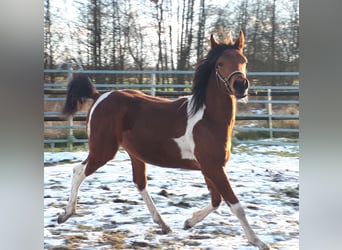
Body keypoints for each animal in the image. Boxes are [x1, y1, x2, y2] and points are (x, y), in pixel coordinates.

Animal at [56, 31, 270, 250]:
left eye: (243, 60)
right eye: (220, 63)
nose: (241, 85)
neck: (208, 119)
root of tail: (99, 96)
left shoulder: (210, 168)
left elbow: (216, 200)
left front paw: (188, 222)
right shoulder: (213, 167)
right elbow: (235, 205)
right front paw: (259, 242)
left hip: (135, 154)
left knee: (140, 183)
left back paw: (163, 224)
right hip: (103, 150)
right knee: (78, 171)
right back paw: (65, 214)